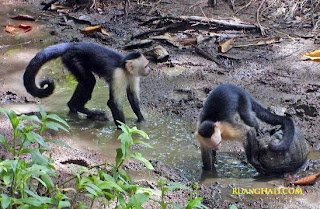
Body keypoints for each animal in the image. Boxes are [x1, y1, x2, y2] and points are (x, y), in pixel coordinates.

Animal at [23, 41, 151, 125]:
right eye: (146, 66)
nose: (149, 70)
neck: (125, 68)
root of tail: (74, 45)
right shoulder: (118, 75)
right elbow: (113, 103)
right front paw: (123, 130)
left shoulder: (133, 76)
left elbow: (132, 97)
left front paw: (141, 120)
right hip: (72, 58)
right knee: (89, 81)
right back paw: (81, 108)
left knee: (86, 82)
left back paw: (74, 108)